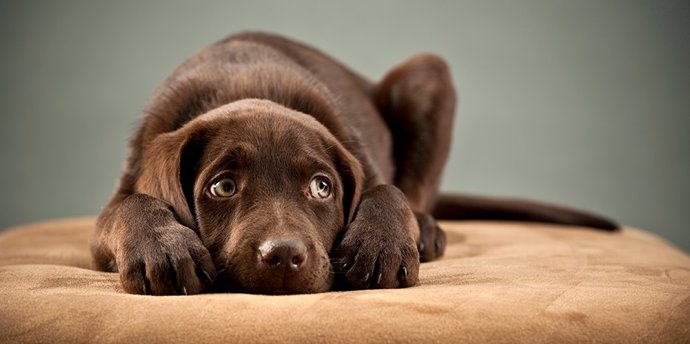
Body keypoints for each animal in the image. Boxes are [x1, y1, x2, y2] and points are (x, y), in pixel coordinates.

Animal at [88, 32, 616, 296]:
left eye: (322, 187)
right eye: (222, 187)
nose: (284, 256)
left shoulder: (362, 160)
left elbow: (386, 192)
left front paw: (381, 245)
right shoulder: (118, 198)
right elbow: (130, 207)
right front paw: (162, 247)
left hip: (427, 74)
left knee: (416, 193)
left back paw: (425, 230)